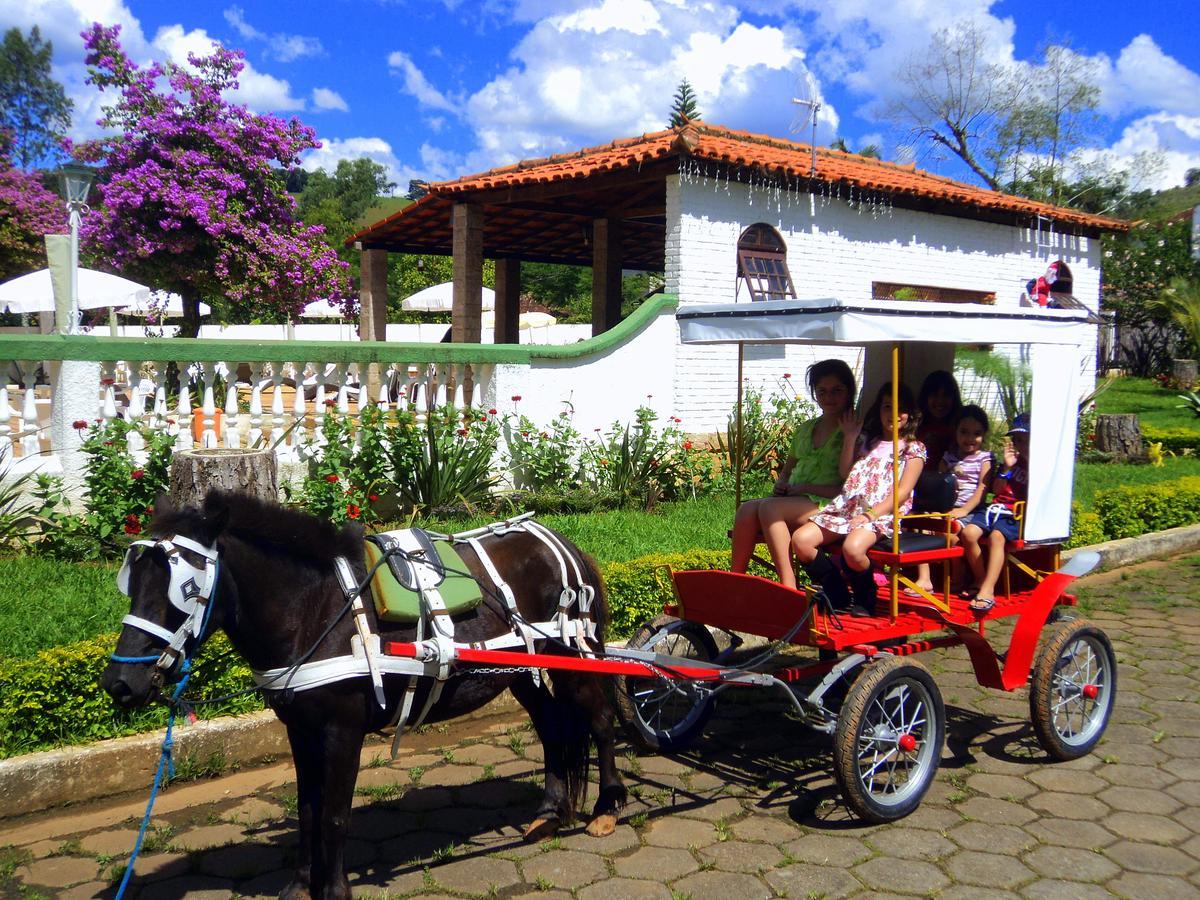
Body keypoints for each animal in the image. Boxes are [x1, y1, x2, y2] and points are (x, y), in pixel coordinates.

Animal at [103, 494, 628, 900]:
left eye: (184, 588)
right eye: (131, 583)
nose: (119, 683)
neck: (314, 611)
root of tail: (560, 542)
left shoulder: (342, 730)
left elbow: (335, 815)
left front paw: (334, 890)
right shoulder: (300, 731)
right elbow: (308, 810)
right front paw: (300, 886)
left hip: (575, 659)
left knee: (601, 722)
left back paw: (606, 808)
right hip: (522, 673)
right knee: (552, 730)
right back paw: (549, 813)